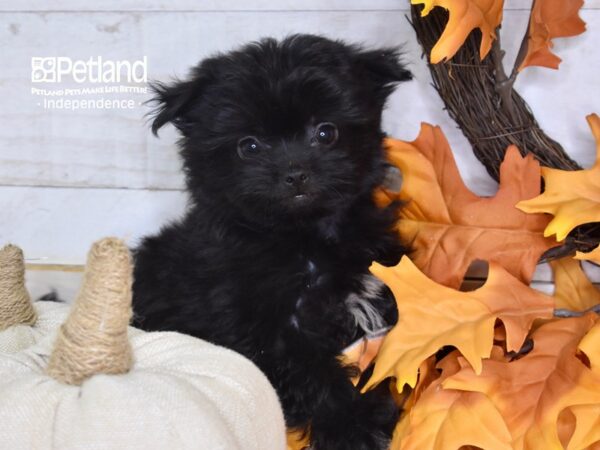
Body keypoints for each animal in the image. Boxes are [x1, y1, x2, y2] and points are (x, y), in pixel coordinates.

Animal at [133, 33, 410, 448]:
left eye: (326, 132)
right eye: (248, 146)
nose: (295, 173)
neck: (303, 239)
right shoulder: (267, 332)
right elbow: (315, 374)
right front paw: (356, 426)